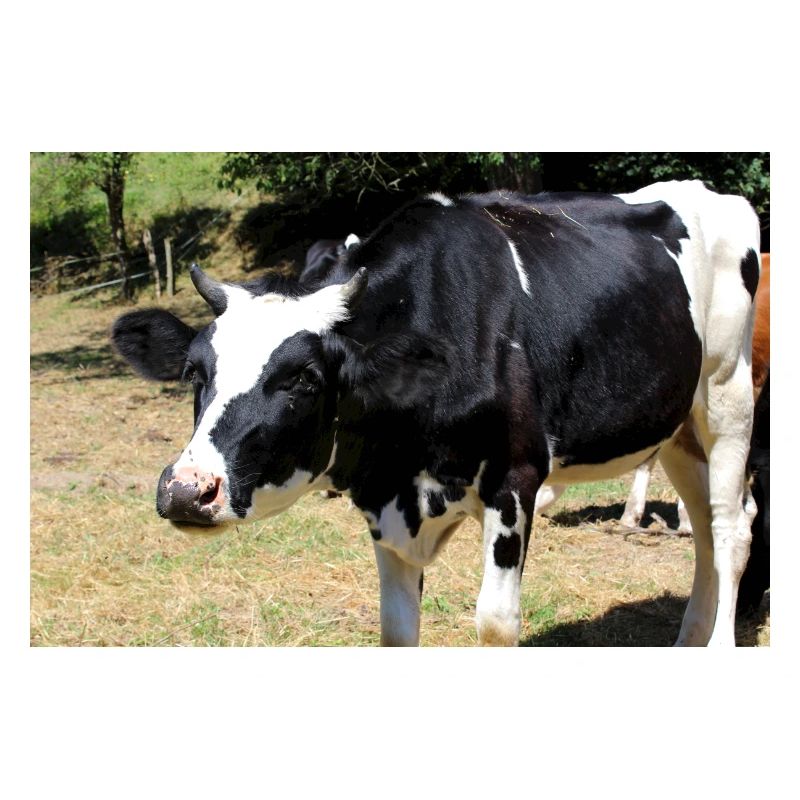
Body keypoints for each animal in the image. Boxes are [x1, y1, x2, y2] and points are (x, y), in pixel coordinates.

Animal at [112, 180, 761, 647]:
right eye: (195, 373)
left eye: (302, 379)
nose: (185, 491)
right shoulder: (385, 498)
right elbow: (397, 629)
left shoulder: (515, 478)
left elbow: (496, 622)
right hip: (677, 427)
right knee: (705, 525)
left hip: (728, 395)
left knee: (732, 527)